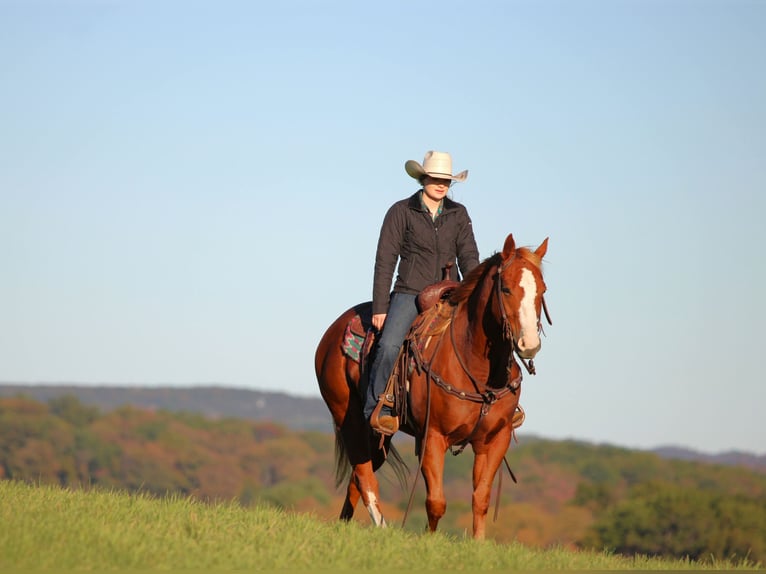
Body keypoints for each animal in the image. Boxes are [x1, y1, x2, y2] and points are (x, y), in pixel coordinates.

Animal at [314, 233, 549, 539]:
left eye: (542, 290)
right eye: (506, 289)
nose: (529, 344)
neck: (475, 366)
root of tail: (331, 334)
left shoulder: (495, 439)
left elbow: (481, 498)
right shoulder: (433, 436)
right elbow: (436, 501)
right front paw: (430, 541)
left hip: (378, 434)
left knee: (356, 477)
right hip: (349, 419)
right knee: (365, 478)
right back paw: (382, 527)